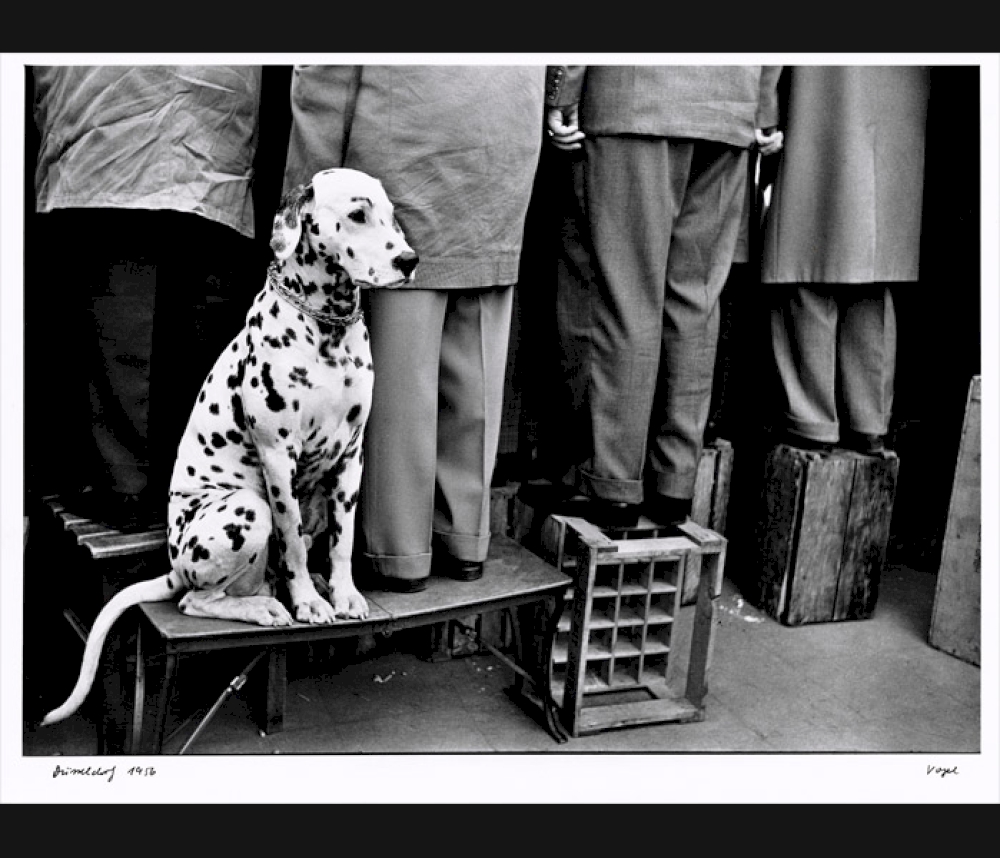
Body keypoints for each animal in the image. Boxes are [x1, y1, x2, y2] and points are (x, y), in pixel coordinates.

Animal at [42, 167, 418, 724]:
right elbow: (292, 542)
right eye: (356, 214)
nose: (408, 260)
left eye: (392, 215)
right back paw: (266, 605)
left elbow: (343, 541)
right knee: (200, 600)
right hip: (245, 509)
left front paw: (344, 592)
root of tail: (174, 567)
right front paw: (309, 601)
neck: (326, 329)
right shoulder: (278, 457)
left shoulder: (352, 456)